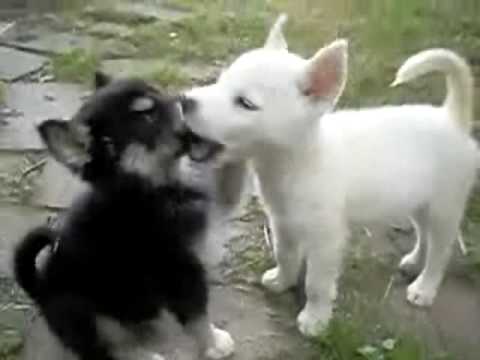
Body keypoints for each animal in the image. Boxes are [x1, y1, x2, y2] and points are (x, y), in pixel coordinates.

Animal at [13, 73, 234, 360]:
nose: (187, 99)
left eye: (160, 91)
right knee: (104, 349)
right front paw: (213, 344)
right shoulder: (177, 270)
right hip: (88, 314)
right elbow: (196, 315)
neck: (153, 188)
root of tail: (40, 290)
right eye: (146, 115)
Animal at [182, 14, 478, 338]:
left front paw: (314, 319)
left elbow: (317, 283)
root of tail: (453, 118)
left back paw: (424, 287)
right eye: (221, 81)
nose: (184, 100)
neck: (297, 162)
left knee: (440, 250)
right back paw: (413, 262)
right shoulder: (283, 223)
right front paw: (281, 280)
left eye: (245, 103)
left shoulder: (326, 240)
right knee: (424, 234)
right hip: (419, 200)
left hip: (445, 207)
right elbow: (285, 255)